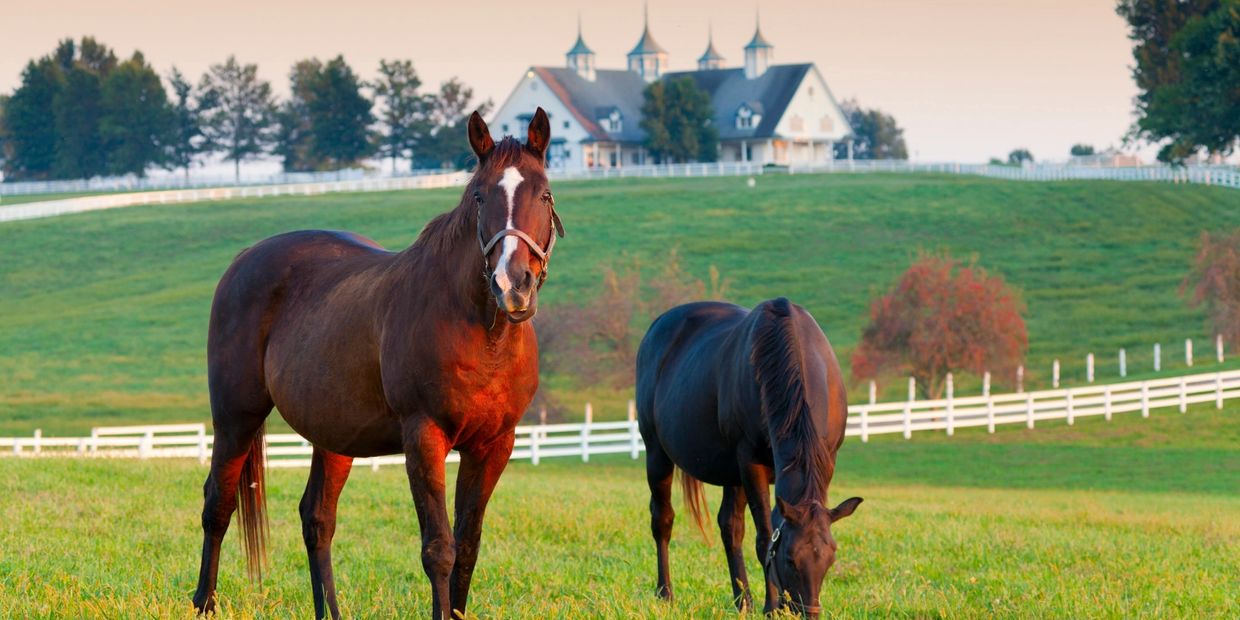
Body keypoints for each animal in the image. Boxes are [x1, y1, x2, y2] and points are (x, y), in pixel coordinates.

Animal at [190, 109, 565, 617]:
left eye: (544, 194)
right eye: (479, 195)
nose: (513, 285)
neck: (481, 333)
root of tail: (244, 258)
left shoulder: (493, 446)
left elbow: (468, 545)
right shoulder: (424, 437)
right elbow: (439, 548)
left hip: (333, 435)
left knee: (317, 519)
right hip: (236, 418)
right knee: (219, 504)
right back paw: (204, 602)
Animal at [639, 298, 863, 615]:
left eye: (830, 558)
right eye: (790, 559)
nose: (806, 612)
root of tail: (656, 327)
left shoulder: (824, 462)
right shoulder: (750, 463)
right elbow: (764, 537)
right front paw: (772, 607)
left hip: (730, 473)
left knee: (730, 527)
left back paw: (742, 601)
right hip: (657, 454)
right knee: (663, 519)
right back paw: (665, 593)